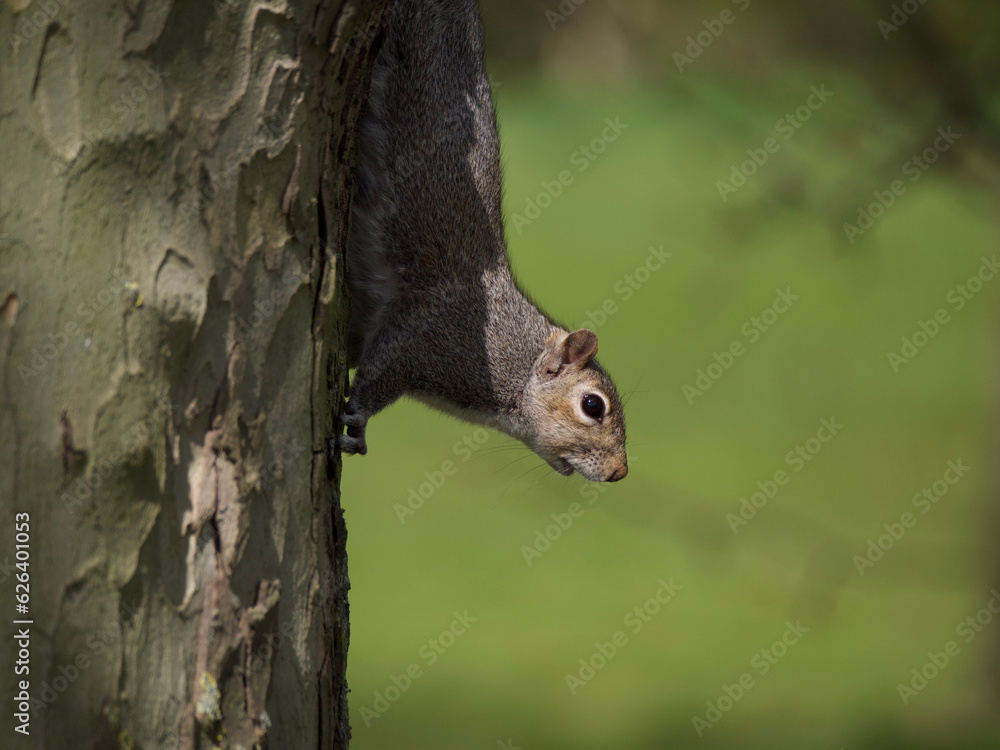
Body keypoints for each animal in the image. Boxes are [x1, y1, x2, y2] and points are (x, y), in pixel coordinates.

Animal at [340, 0, 628, 484]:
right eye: (593, 405)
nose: (619, 473)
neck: (517, 357)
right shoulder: (429, 335)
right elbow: (377, 377)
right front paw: (357, 421)